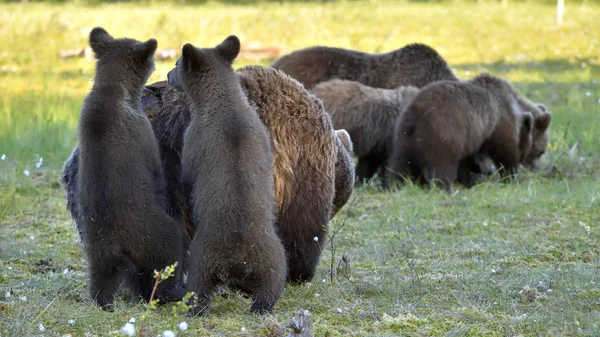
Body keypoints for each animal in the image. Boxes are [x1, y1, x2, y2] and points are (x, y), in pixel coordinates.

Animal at [76, 28, 186, 310]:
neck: (116, 91)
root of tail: (118, 246)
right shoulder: (141, 132)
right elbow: (156, 168)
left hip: (97, 249)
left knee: (101, 279)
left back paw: (103, 300)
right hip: (155, 234)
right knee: (168, 259)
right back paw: (171, 292)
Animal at [164, 37, 286, 316]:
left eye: (177, 64)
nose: (167, 74)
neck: (225, 102)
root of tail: (238, 259)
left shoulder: (193, 138)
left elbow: (187, 174)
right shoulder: (262, 135)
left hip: (202, 255)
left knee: (199, 287)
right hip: (273, 255)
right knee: (272, 284)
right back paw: (261, 306)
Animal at [386, 73, 532, 190]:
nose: (524, 159)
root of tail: (416, 113)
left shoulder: (469, 136)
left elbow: (465, 161)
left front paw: (469, 181)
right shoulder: (497, 124)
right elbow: (504, 151)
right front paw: (510, 175)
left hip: (404, 136)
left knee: (401, 163)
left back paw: (397, 184)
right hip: (442, 133)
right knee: (442, 165)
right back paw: (443, 187)